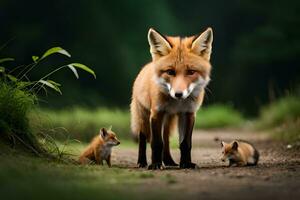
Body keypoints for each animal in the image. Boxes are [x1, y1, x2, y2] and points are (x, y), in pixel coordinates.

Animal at [131, 27, 213, 169]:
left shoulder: (188, 114)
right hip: (144, 117)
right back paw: (142, 162)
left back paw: (168, 160)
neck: (177, 104)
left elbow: (185, 144)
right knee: (143, 138)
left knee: (166, 139)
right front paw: (156, 164)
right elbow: (156, 143)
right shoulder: (156, 113)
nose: (178, 94)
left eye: (191, 72)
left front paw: (186, 163)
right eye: (170, 72)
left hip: (169, 120)